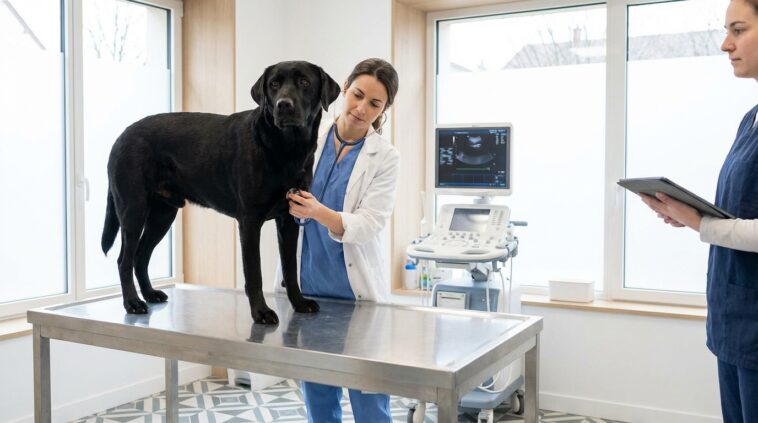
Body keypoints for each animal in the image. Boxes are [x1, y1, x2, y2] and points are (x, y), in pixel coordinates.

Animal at [101, 60, 340, 324]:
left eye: (304, 82)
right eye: (274, 84)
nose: (283, 104)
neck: (287, 148)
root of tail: (122, 135)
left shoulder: (289, 218)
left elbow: (290, 268)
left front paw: (298, 303)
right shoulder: (249, 221)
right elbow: (254, 272)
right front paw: (261, 312)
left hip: (162, 215)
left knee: (141, 256)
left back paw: (150, 294)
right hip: (133, 209)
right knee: (124, 259)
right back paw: (133, 302)